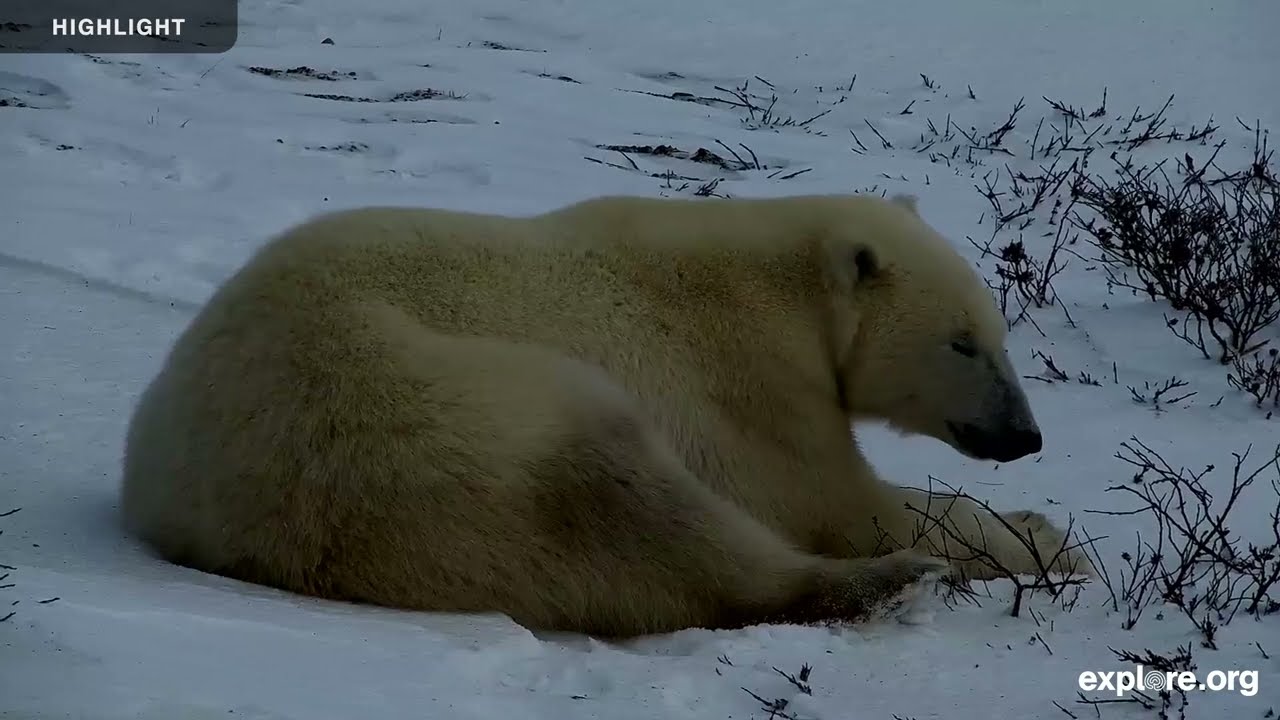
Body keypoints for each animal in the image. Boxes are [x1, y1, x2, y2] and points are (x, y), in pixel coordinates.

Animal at [119, 192, 1086, 639]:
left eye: (1001, 336)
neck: (781, 285)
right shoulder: (744, 381)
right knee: (623, 497)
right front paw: (1045, 540)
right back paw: (895, 579)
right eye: (964, 343)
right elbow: (839, 503)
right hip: (415, 409)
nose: (1027, 436)